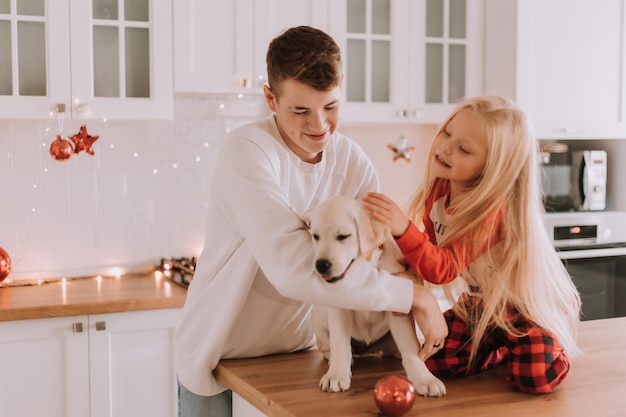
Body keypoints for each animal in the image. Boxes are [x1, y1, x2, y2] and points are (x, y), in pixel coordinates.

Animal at [302, 195, 444, 396]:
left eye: (342, 236)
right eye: (316, 236)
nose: (321, 265)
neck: (365, 267)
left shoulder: (397, 306)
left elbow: (410, 346)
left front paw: (425, 378)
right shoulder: (339, 308)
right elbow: (339, 345)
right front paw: (336, 375)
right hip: (319, 314)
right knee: (328, 346)